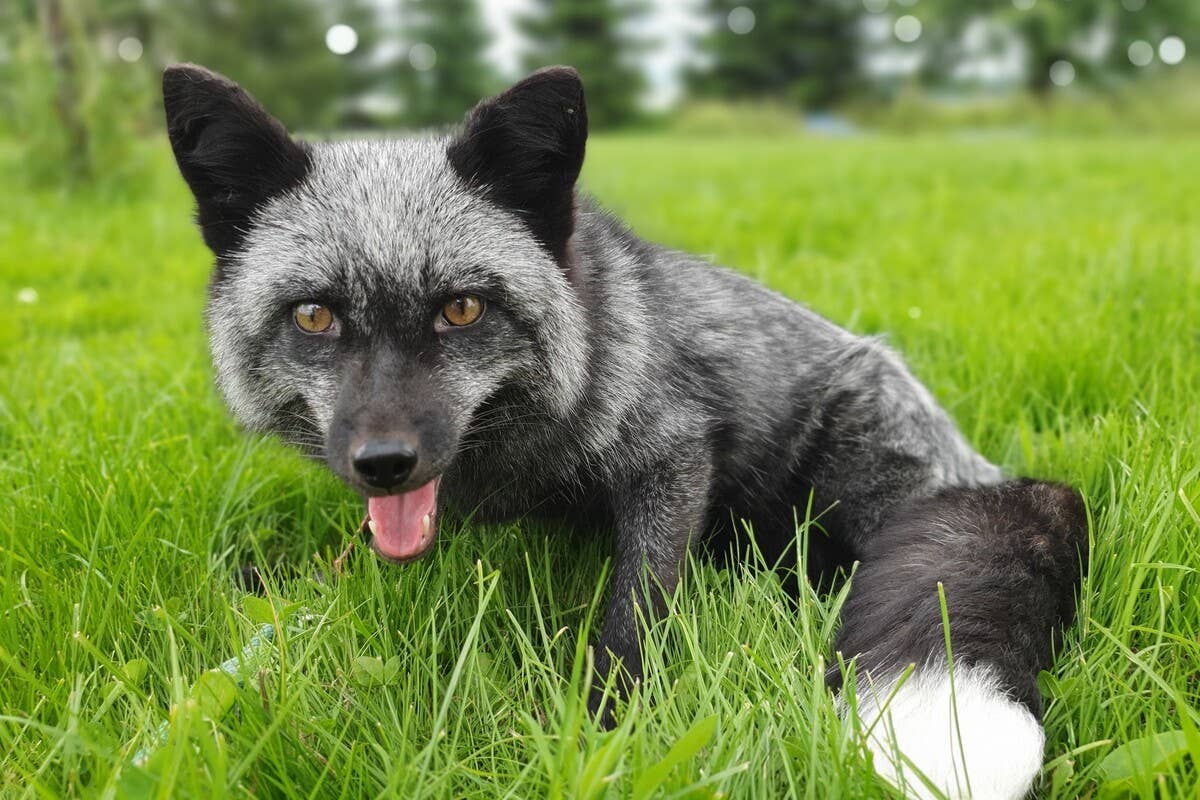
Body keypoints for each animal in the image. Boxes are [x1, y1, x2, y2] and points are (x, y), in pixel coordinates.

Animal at [163, 64, 1087, 799]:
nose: (385, 463)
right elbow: (318, 582)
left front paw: (606, 725)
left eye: (461, 309)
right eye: (313, 316)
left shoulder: (672, 455)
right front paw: (259, 605)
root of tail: (984, 472)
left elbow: (636, 607)